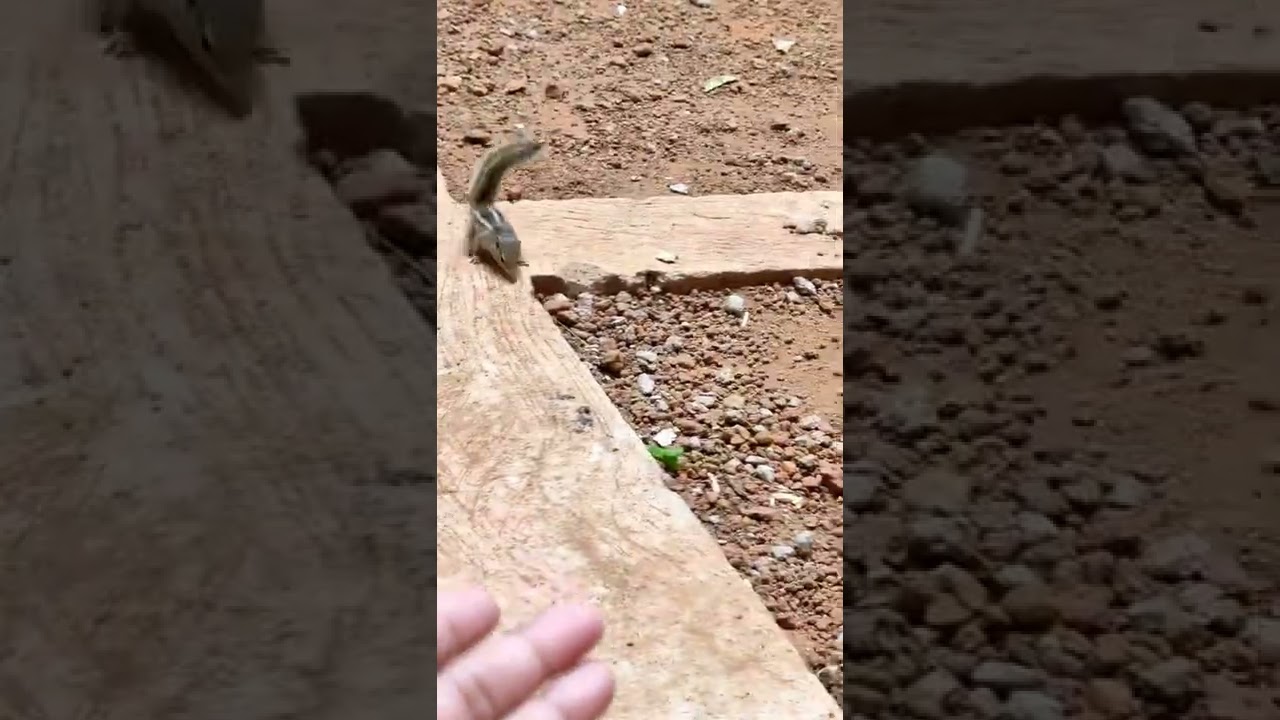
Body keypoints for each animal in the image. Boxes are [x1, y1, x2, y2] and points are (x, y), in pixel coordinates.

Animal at [465, 134, 544, 281]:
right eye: (502, 259)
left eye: (517, 255)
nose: (514, 278)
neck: (502, 236)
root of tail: (482, 204)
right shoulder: (482, 238)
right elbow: (475, 245)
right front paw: (475, 257)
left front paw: (522, 261)